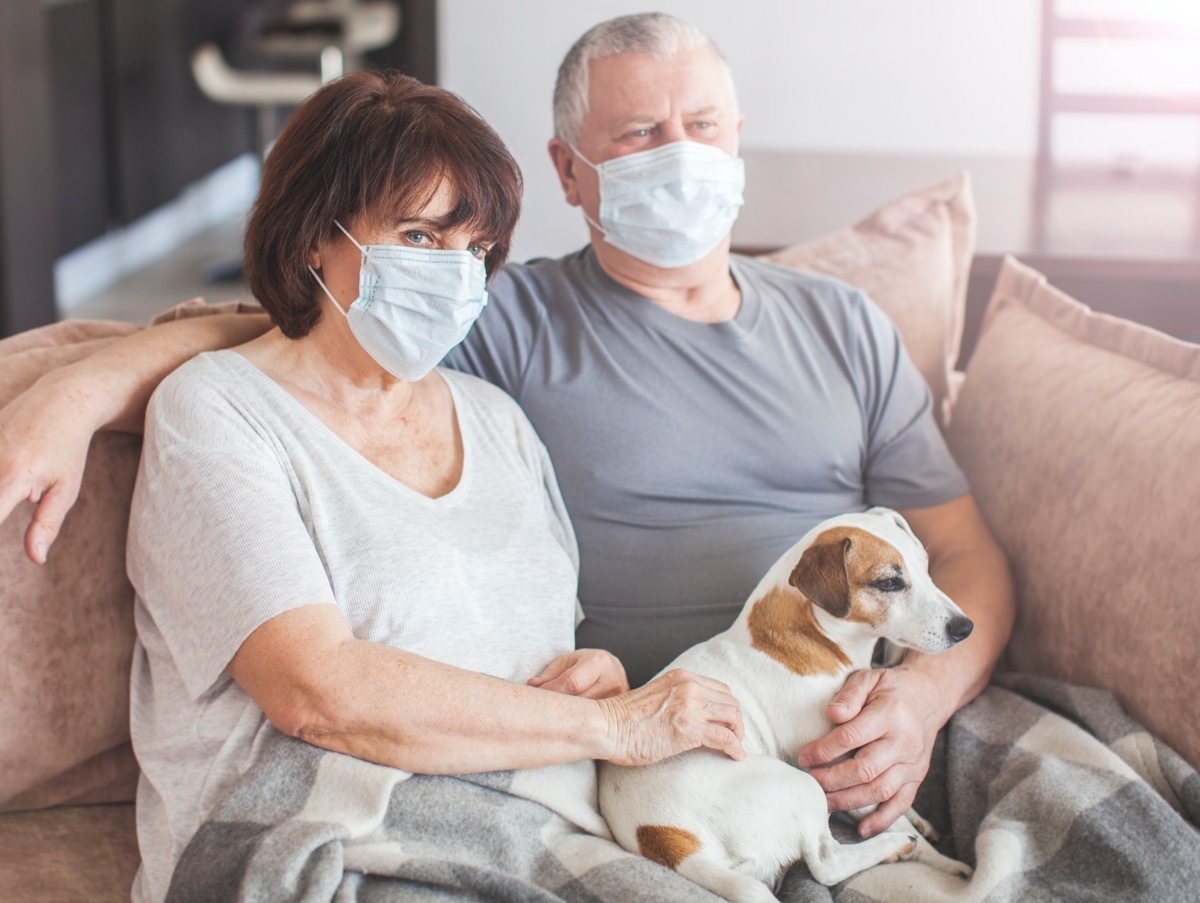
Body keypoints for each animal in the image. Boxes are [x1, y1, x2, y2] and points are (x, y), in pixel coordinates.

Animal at [597, 509, 974, 903]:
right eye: (888, 583)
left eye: (926, 567)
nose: (965, 628)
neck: (813, 638)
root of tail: (666, 840)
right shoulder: (844, 768)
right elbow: (888, 818)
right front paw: (945, 864)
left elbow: (897, 800)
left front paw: (918, 818)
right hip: (805, 787)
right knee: (826, 863)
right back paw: (894, 846)